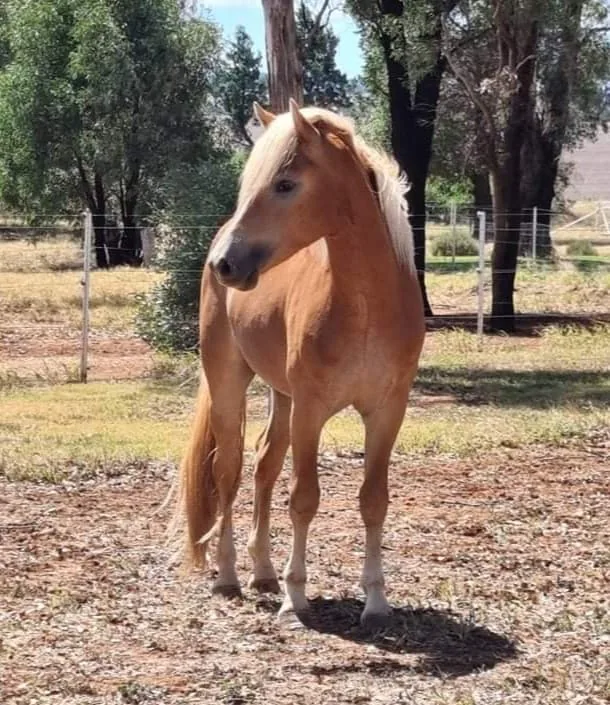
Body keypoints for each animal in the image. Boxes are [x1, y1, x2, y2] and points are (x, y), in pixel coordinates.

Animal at [172, 100, 425, 628]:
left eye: (285, 184)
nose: (226, 264)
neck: (365, 306)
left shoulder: (388, 412)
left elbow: (373, 500)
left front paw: (375, 601)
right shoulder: (311, 411)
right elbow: (304, 498)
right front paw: (296, 597)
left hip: (281, 396)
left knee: (264, 464)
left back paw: (262, 571)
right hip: (229, 382)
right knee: (228, 470)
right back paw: (230, 576)